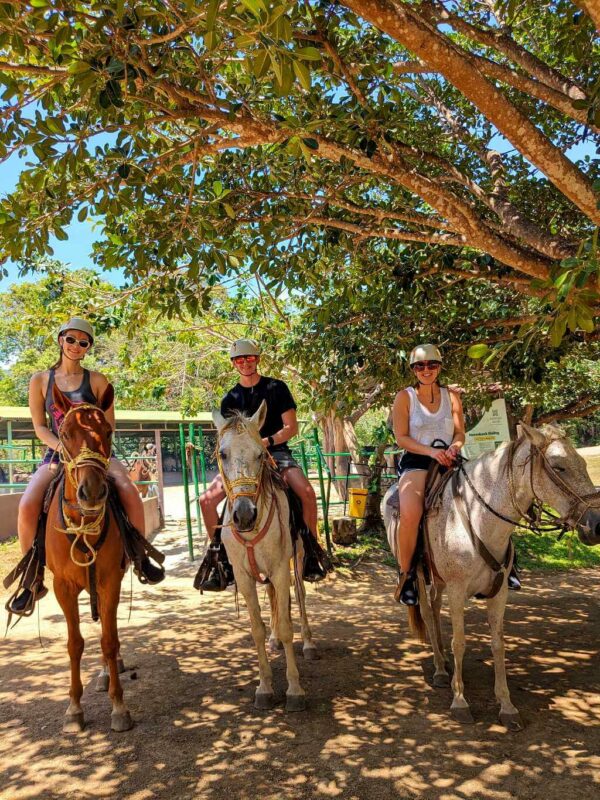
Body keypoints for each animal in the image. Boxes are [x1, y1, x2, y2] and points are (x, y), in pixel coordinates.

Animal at [46, 384, 134, 736]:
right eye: (65, 433)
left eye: (108, 432)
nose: (93, 492)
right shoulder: (62, 586)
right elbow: (74, 644)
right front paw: (73, 709)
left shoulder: (110, 579)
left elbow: (108, 641)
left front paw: (119, 707)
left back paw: (107, 673)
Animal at [213, 400, 322, 712]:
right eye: (223, 454)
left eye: (261, 453)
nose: (244, 515)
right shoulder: (244, 576)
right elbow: (257, 629)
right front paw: (264, 687)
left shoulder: (280, 568)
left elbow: (287, 626)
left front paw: (295, 690)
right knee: (274, 598)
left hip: (298, 558)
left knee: (299, 596)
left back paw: (309, 644)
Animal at [384, 424, 600, 732]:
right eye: (559, 466)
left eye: (582, 463)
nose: (596, 525)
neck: (480, 519)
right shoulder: (457, 590)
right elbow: (460, 642)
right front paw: (460, 701)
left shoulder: (499, 593)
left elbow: (498, 644)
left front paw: (507, 706)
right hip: (421, 576)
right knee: (426, 612)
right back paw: (439, 669)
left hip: (439, 580)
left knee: (435, 612)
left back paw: (443, 665)